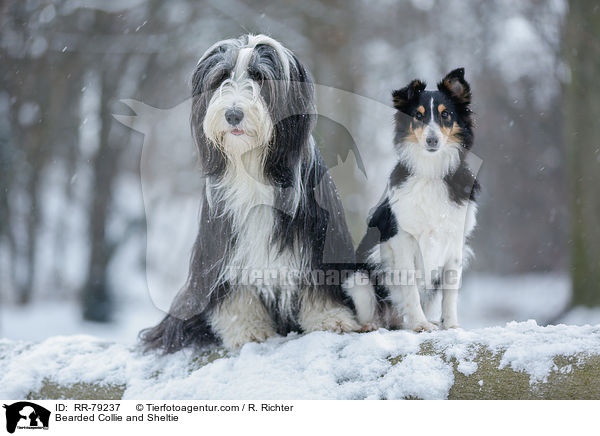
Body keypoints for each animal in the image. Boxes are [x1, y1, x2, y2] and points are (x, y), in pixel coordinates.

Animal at [141, 35, 358, 352]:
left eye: (259, 77)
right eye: (222, 78)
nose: (233, 114)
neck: (251, 166)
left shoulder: (316, 235)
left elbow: (318, 281)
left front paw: (330, 318)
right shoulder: (221, 247)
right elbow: (236, 293)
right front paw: (247, 329)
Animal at [344, 69, 480, 330]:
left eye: (445, 114)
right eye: (418, 116)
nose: (432, 140)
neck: (431, 171)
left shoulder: (454, 242)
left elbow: (450, 292)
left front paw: (451, 326)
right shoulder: (402, 240)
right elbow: (410, 288)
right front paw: (420, 324)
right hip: (358, 278)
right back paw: (372, 325)